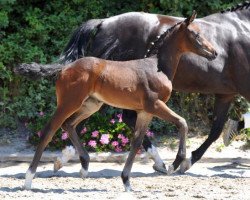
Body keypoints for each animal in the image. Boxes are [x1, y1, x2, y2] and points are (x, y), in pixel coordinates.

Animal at [18, 11, 217, 192]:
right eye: (196, 34)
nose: (214, 53)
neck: (157, 66)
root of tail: (64, 69)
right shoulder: (155, 104)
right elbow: (182, 123)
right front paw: (175, 163)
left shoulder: (145, 111)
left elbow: (137, 141)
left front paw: (127, 182)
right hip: (69, 102)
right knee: (49, 130)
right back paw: (29, 179)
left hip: (91, 104)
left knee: (69, 124)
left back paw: (84, 165)